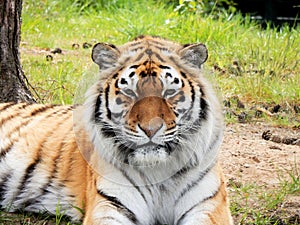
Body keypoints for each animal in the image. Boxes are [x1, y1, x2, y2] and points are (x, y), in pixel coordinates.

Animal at [0, 35, 233, 225]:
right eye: (129, 92)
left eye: (169, 93)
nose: (150, 129)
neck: (159, 170)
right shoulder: (110, 205)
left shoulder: (210, 206)